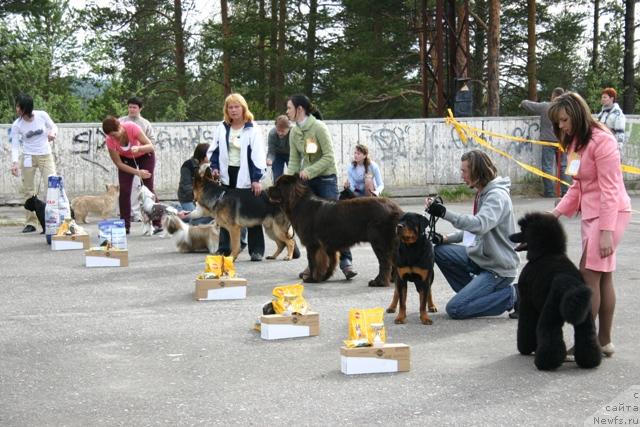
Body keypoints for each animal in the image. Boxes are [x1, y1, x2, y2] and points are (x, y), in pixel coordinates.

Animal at [264, 174, 400, 288]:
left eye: (278, 186)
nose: (267, 189)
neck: (299, 203)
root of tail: (394, 207)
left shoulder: (313, 244)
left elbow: (313, 261)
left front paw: (312, 279)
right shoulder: (328, 246)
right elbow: (330, 263)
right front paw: (323, 277)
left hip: (379, 240)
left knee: (385, 262)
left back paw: (379, 282)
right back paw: (392, 279)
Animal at [510, 214, 600, 372]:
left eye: (523, 230)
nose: (511, 236)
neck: (545, 252)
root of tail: (570, 285)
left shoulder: (527, 301)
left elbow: (526, 324)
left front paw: (525, 349)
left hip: (550, 310)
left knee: (549, 332)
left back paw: (546, 363)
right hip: (586, 312)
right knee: (586, 334)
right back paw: (589, 361)